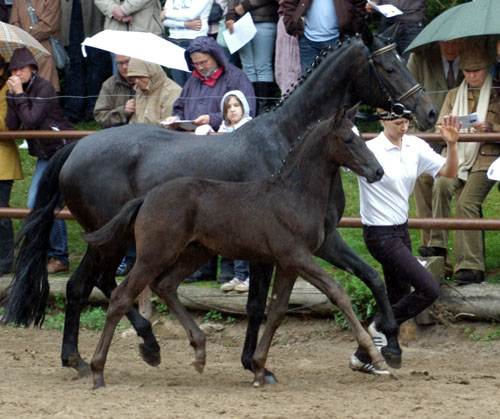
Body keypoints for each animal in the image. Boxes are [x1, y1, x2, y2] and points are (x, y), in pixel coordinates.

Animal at [85, 106, 386, 390]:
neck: (295, 195)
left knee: (165, 285)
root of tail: (146, 197)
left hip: (196, 252)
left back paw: (199, 350)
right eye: (348, 139)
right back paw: (98, 371)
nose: (378, 171)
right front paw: (376, 357)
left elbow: (277, 311)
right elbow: (337, 293)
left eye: (361, 136)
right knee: (122, 297)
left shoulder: (288, 263)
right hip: (153, 255)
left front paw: (259, 367)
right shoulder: (297, 256)